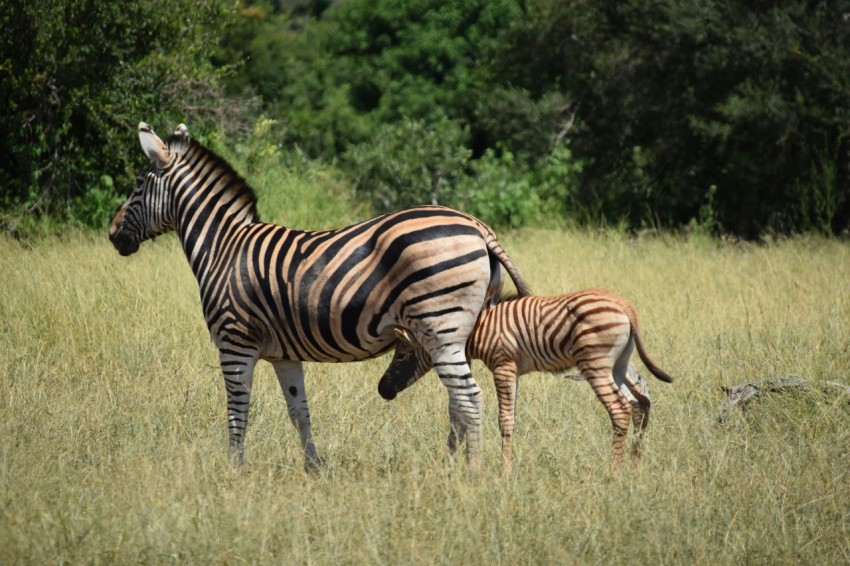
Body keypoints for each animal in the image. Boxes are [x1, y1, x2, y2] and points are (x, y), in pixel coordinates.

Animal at [108, 122, 531, 469]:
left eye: (138, 185)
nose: (113, 236)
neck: (222, 249)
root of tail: (478, 226)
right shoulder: (284, 354)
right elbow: (299, 412)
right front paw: (314, 468)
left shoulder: (234, 342)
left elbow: (236, 410)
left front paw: (233, 470)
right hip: (457, 332)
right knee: (458, 401)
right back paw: (450, 466)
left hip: (439, 327)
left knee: (469, 399)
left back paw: (472, 472)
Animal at [377, 289, 673, 469]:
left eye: (402, 355)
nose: (382, 390)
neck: (479, 328)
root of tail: (624, 305)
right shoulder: (513, 371)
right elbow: (511, 417)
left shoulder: (503, 366)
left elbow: (505, 420)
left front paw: (504, 472)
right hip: (618, 364)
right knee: (640, 403)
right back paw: (634, 465)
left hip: (596, 365)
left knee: (621, 409)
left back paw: (613, 473)